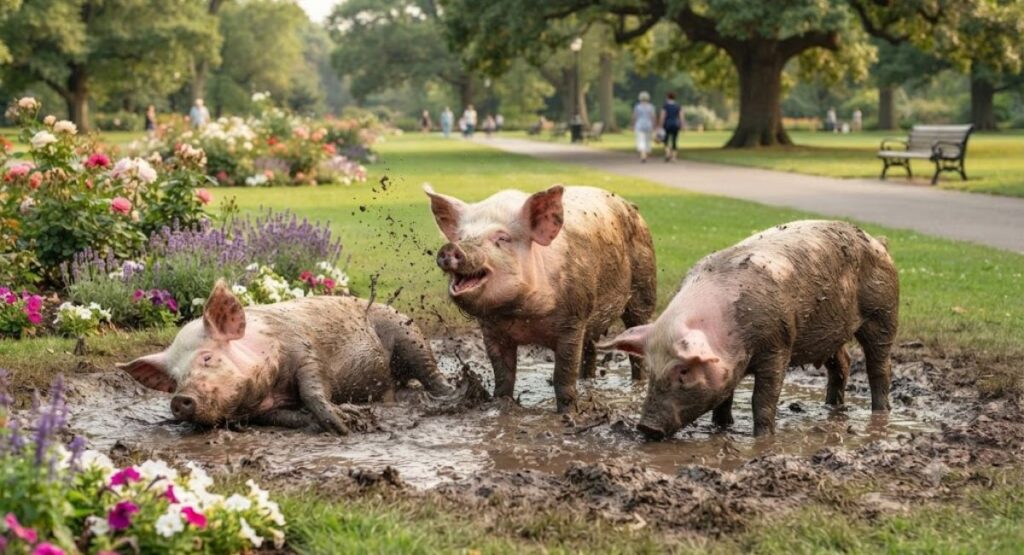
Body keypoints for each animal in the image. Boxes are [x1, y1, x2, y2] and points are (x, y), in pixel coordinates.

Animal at [118, 280, 453, 434]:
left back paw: (447, 394)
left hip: (409, 335)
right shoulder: (265, 411)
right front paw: (333, 421)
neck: (271, 387)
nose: (179, 400)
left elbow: (313, 388)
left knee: (430, 374)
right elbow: (288, 417)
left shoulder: (305, 352)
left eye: (207, 359)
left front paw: (344, 425)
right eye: (175, 380)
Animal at [424, 184, 656, 412]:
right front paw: (500, 405)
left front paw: (568, 413)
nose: (451, 247)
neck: (522, 313)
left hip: (643, 290)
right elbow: (503, 374)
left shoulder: (573, 320)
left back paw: (638, 384)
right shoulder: (491, 330)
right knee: (590, 349)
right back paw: (587, 381)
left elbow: (563, 375)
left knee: (636, 343)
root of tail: (630, 206)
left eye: (502, 238)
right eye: (461, 237)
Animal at [599, 220, 899, 438]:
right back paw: (830, 406)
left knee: (880, 367)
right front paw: (721, 428)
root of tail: (878, 242)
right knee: (842, 363)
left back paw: (880, 411)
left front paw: (762, 437)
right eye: (652, 370)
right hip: (830, 332)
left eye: (683, 371)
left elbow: (762, 399)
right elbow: (723, 398)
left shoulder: (777, 347)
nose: (646, 427)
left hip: (883, 313)